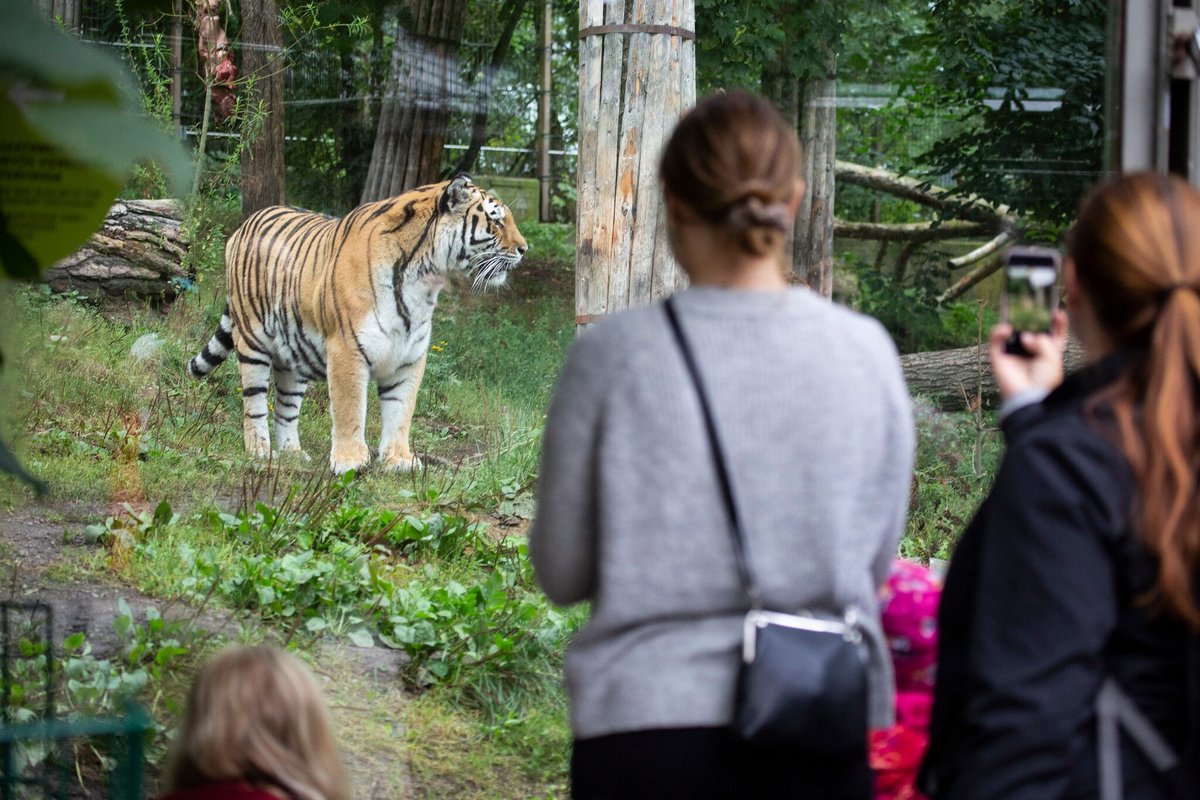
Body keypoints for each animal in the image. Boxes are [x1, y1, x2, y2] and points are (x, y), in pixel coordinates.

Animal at [187, 175, 525, 472]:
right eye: (496, 220)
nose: (524, 249)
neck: (424, 280)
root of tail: (244, 225)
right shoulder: (347, 348)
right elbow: (350, 408)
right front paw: (350, 460)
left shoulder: (409, 357)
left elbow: (401, 411)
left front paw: (398, 459)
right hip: (253, 342)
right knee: (254, 403)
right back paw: (259, 451)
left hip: (293, 356)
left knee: (286, 408)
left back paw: (292, 454)